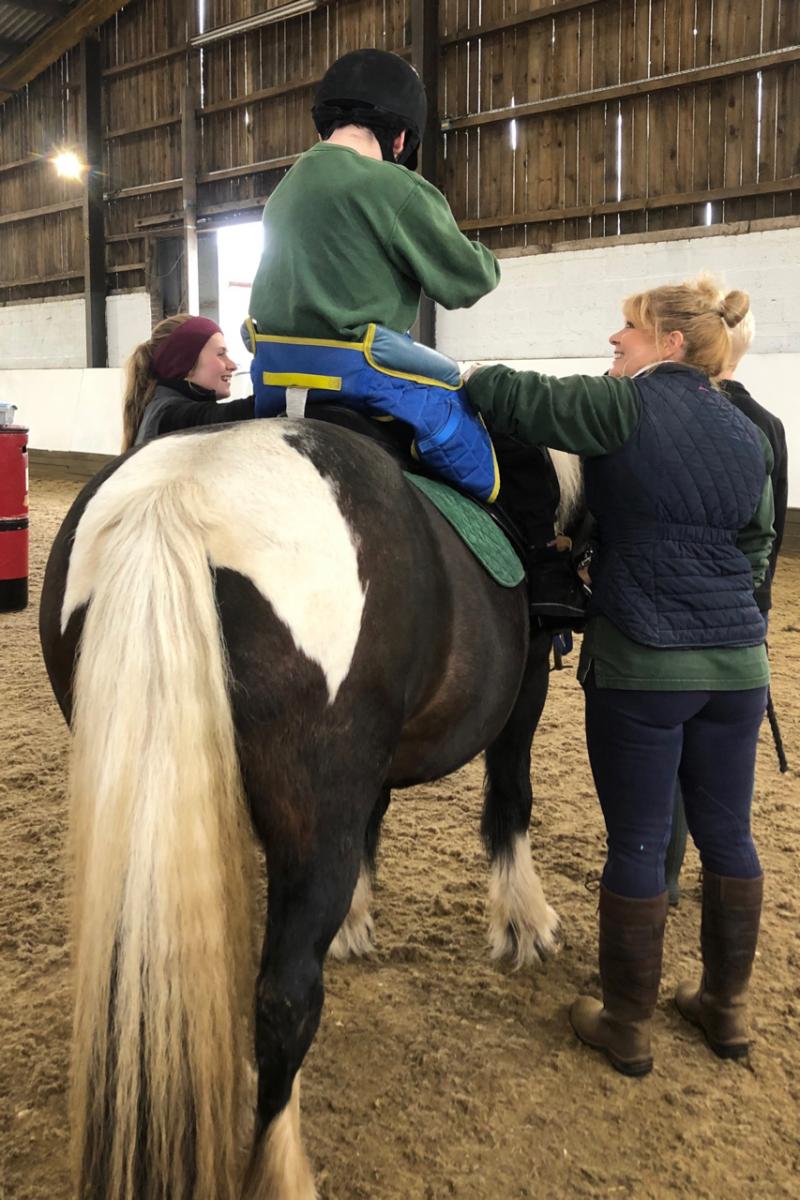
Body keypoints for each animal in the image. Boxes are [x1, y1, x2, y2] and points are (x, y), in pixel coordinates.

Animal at [38, 415, 582, 1200]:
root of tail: (183, 487)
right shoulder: (525, 682)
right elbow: (511, 791)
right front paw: (523, 919)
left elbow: (376, 818)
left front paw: (356, 917)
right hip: (310, 811)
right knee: (285, 1000)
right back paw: (278, 1168)